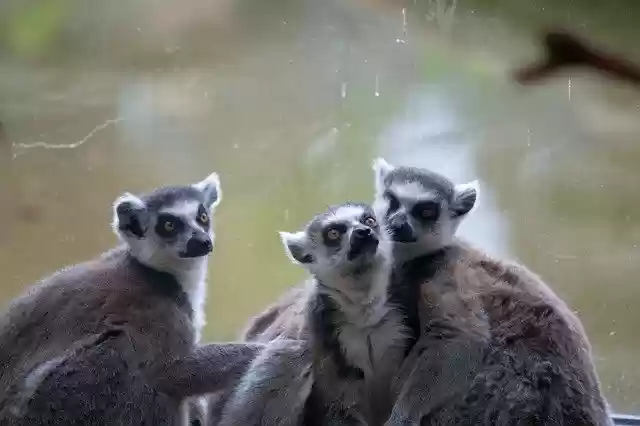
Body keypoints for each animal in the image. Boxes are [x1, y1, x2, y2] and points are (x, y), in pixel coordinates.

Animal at [0, 173, 281, 426]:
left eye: (203, 217)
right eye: (169, 225)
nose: (202, 241)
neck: (161, 274)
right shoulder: (154, 311)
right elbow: (174, 371)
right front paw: (271, 347)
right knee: (132, 358)